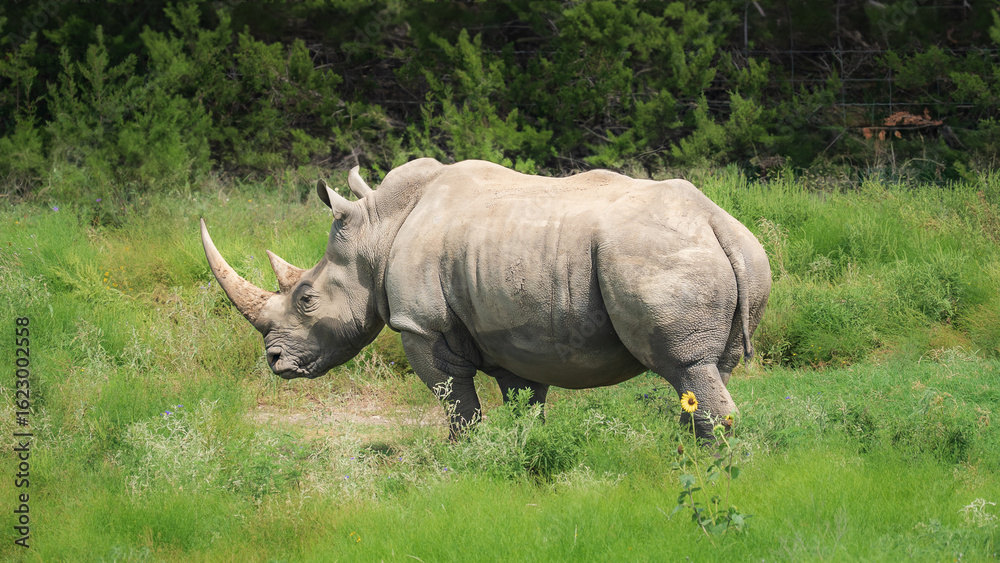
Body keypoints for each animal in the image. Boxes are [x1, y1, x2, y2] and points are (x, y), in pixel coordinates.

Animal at [200, 158, 770, 437]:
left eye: (306, 300)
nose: (275, 362)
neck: (376, 235)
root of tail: (717, 221)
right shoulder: (515, 333)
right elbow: (525, 405)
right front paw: (525, 457)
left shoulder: (420, 323)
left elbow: (457, 403)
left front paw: (465, 462)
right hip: (736, 254)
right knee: (707, 372)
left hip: (654, 254)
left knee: (686, 366)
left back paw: (713, 469)